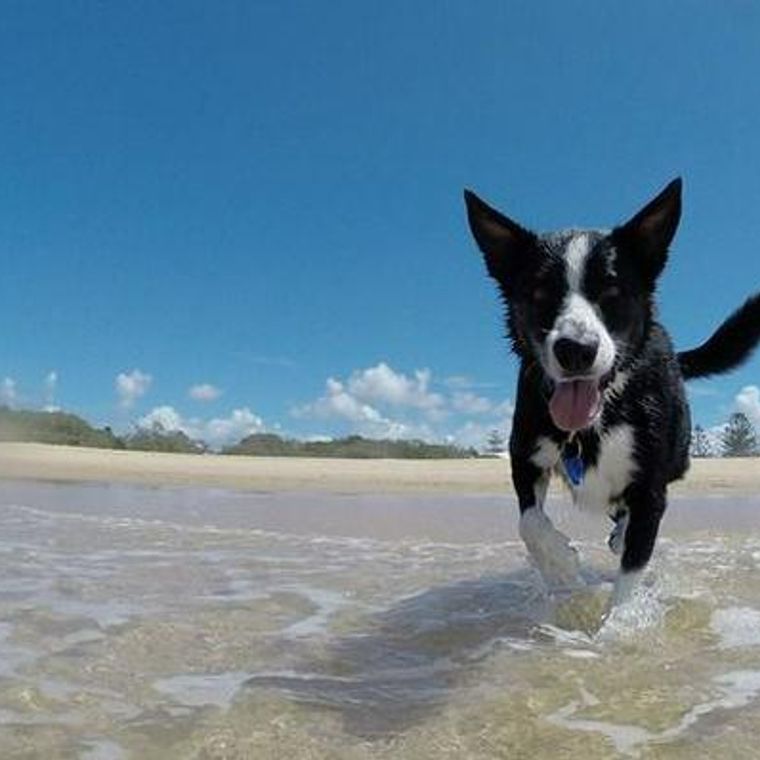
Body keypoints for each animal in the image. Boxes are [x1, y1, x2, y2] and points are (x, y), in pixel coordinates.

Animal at [464, 180, 760, 604]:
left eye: (612, 291)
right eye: (539, 293)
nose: (576, 350)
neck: (595, 422)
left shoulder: (650, 490)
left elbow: (630, 576)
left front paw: (615, 619)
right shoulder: (525, 456)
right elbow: (530, 523)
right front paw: (562, 571)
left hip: (677, 456)